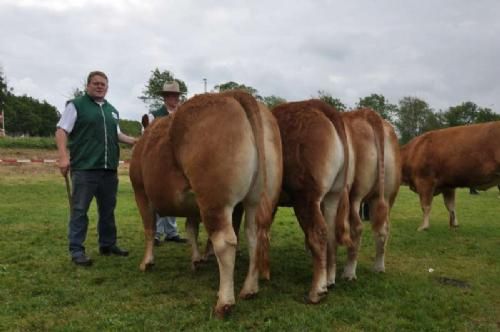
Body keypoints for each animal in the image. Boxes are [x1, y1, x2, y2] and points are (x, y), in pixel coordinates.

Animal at [129, 90, 284, 316]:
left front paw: (147, 262)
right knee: (255, 236)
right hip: (255, 200)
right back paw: (249, 289)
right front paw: (196, 259)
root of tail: (236, 94)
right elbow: (191, 228)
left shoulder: (140, 191)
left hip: (214, 200)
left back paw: (224, 302)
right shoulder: (193, 202)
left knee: (225, 242)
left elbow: (149, 228)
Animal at [270, 99, 352, 304]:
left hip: (306, 195)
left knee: (318, 233)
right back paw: (329, 280)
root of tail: (320, 107)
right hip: (333, 194)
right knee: (330, 233)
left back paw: (317, 290)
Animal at [332, 108, 402, 282]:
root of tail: (369, 113)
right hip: (387, 195)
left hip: (355, 194)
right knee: (384, 229)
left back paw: (349, 273)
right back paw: (379, 267)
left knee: (356, 227)